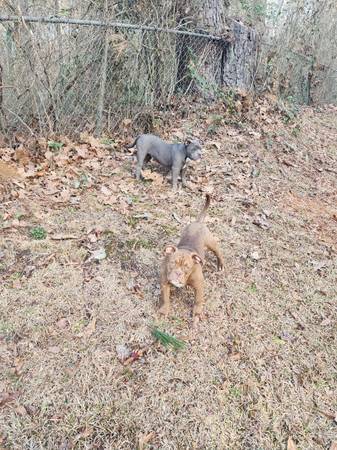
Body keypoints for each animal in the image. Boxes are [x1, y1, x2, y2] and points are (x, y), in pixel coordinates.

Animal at [158, 193, 223, 324]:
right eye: (172, 263)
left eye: (187, 267)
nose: (178, 273)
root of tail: (198, 222)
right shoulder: (164, 282)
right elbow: (165, 298)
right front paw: (164, 311)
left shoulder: (199, 284)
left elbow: (198, 299)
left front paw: (197, 313)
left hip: (211, 243)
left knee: (218, 252)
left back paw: (221, 265)